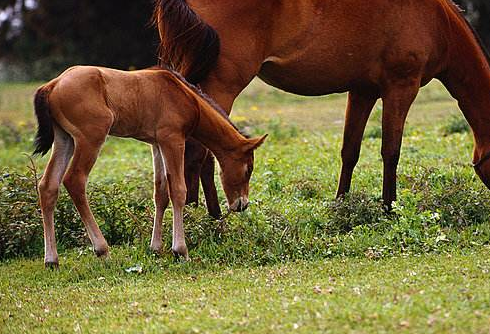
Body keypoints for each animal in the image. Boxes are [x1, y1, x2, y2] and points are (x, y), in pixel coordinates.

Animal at [33, 66, 268, 268]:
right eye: (248, 169)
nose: (242, 204)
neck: (185, 96)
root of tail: (53, 85)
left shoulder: (156, 144)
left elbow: (160, 193)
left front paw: (156, 248)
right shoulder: (172, 139)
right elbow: (178, 191)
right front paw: (180, 251)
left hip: (64, 139)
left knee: (48, 186)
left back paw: (51, 260)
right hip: (91, 137)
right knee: (75, 180)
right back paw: (102, 249)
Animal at [155, 0, 490, 209]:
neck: (438, 21)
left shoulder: (363, 92)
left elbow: (350, 151)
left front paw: (340, 205)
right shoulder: (401, 88)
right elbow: (391, 151)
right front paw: (388, 207)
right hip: (221, 88)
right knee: (200, 151)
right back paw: (207, 216)